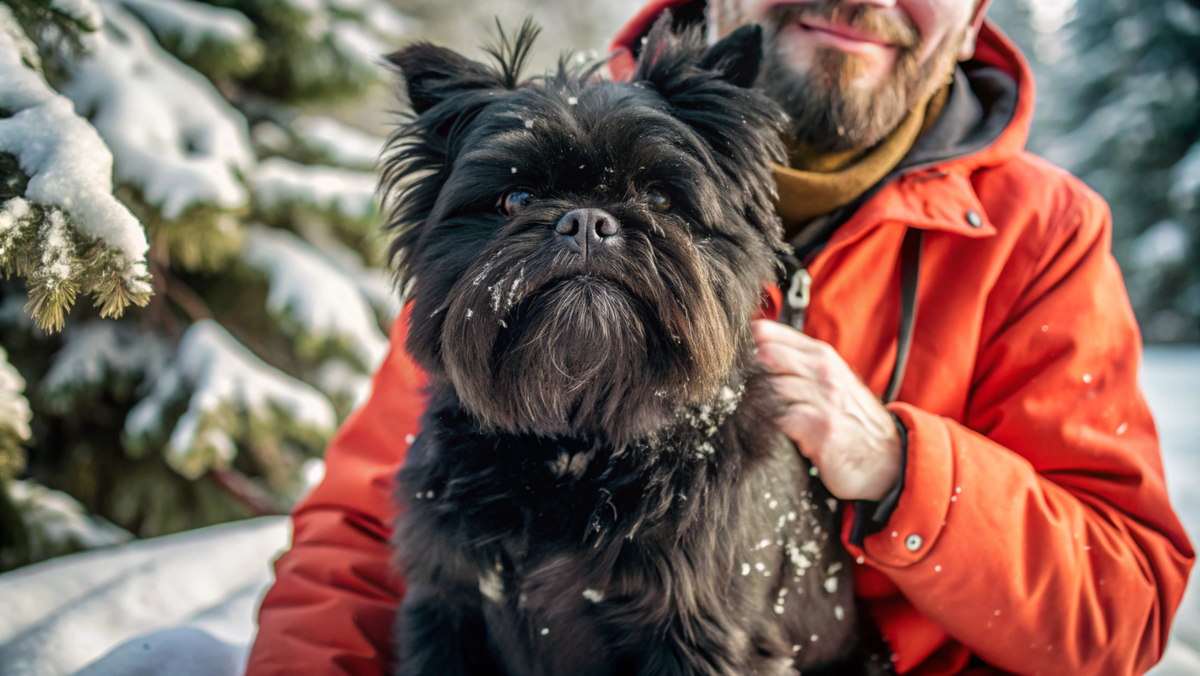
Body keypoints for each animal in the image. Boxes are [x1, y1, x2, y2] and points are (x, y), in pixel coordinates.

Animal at [384, 15, 892, 676]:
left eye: (658, 199)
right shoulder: (447, 605)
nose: (585, 221)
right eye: (515, 200)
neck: (576, 446)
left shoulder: (701, 638)